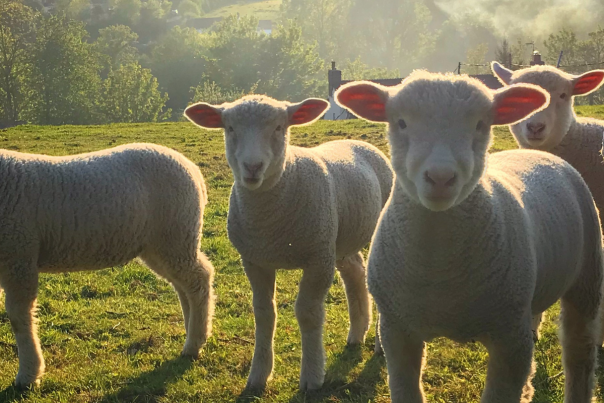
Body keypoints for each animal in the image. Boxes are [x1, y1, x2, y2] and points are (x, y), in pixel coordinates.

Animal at [0, 144, 215, 390]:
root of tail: (193, 170)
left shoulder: (18, 256)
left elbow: (19, 318)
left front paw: (28, 375)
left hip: (176, 235)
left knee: (199, 279)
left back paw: (194, 344)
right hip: (162, 244)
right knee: (183, 285)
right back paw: (194, 332)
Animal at [184, 94, 392, 392]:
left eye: (279, 127)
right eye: (230, 128)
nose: (253, 167)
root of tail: (359, 143)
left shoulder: (318, 260)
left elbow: (307, 313)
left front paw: (312, 377)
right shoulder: (255, 261)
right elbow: (263, 313)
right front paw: (258, 376)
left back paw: (379, 346)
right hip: (339, 239)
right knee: (354, 271)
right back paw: (356, 333)